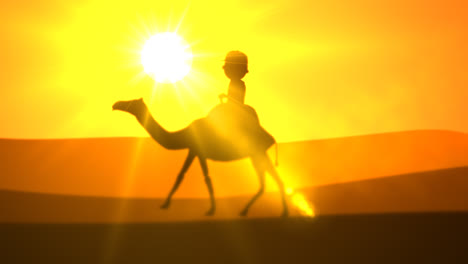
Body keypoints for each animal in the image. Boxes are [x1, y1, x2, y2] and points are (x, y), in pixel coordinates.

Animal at [113, 97, 288, 217]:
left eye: (131, 102)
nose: (116, 104)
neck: (183, 135)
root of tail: (268, 135)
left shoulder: (199, 150)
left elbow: (206, 178)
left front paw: (211, 210)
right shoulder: (193, 150)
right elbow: (181, 175)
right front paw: (165, 204)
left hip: (256, 152)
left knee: (267, 179)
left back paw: (274, 211)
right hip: (257, 153)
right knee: (269, 179)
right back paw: (257, 211)